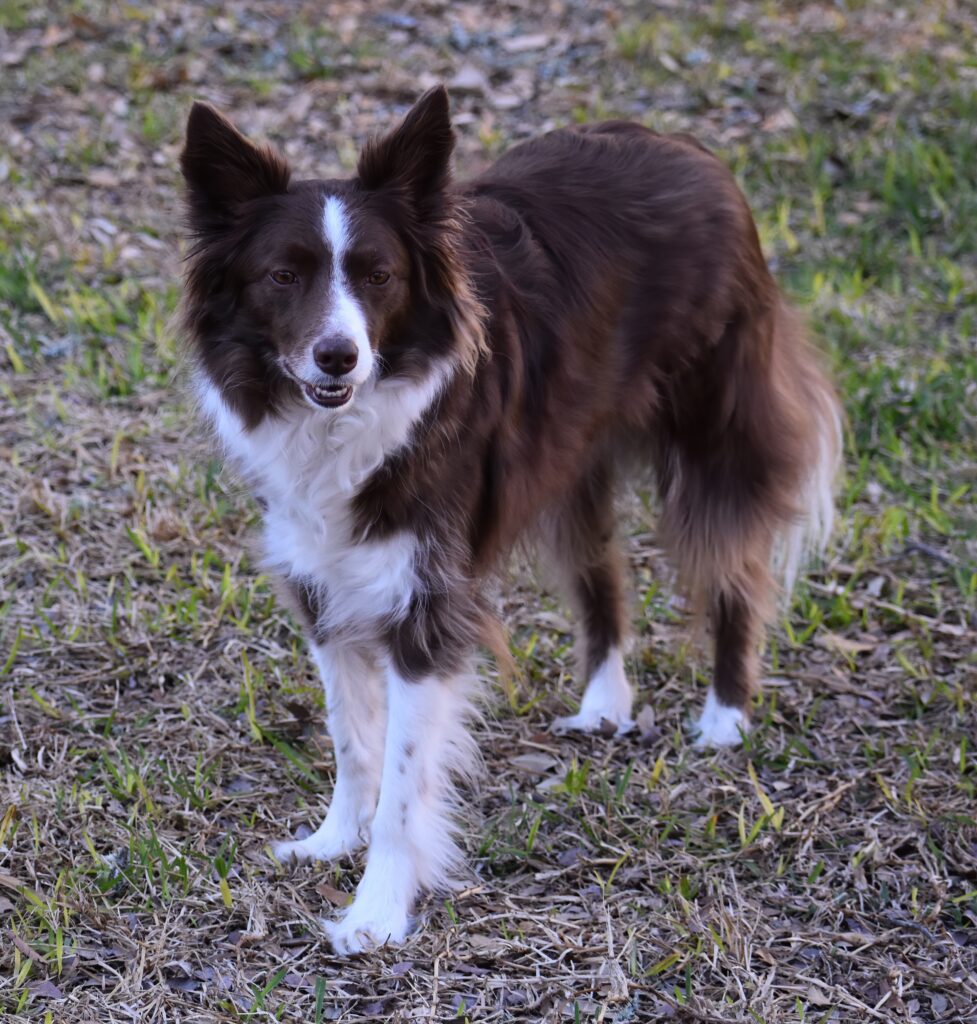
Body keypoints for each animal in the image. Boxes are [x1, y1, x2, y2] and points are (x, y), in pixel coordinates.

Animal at [181, 88, 839, 950]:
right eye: (282, 276)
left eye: (380, 277)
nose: (337, 356)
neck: (344, 421)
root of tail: (688, 148)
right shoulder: (321, 578)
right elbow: (351, 737)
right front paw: (332, 840)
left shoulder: (425, 602)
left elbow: (402, 782)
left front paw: (376, 911)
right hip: (572, 454)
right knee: (601, 574)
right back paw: (602, 705)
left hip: (713, 429)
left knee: (733, 565)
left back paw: (725, 716)